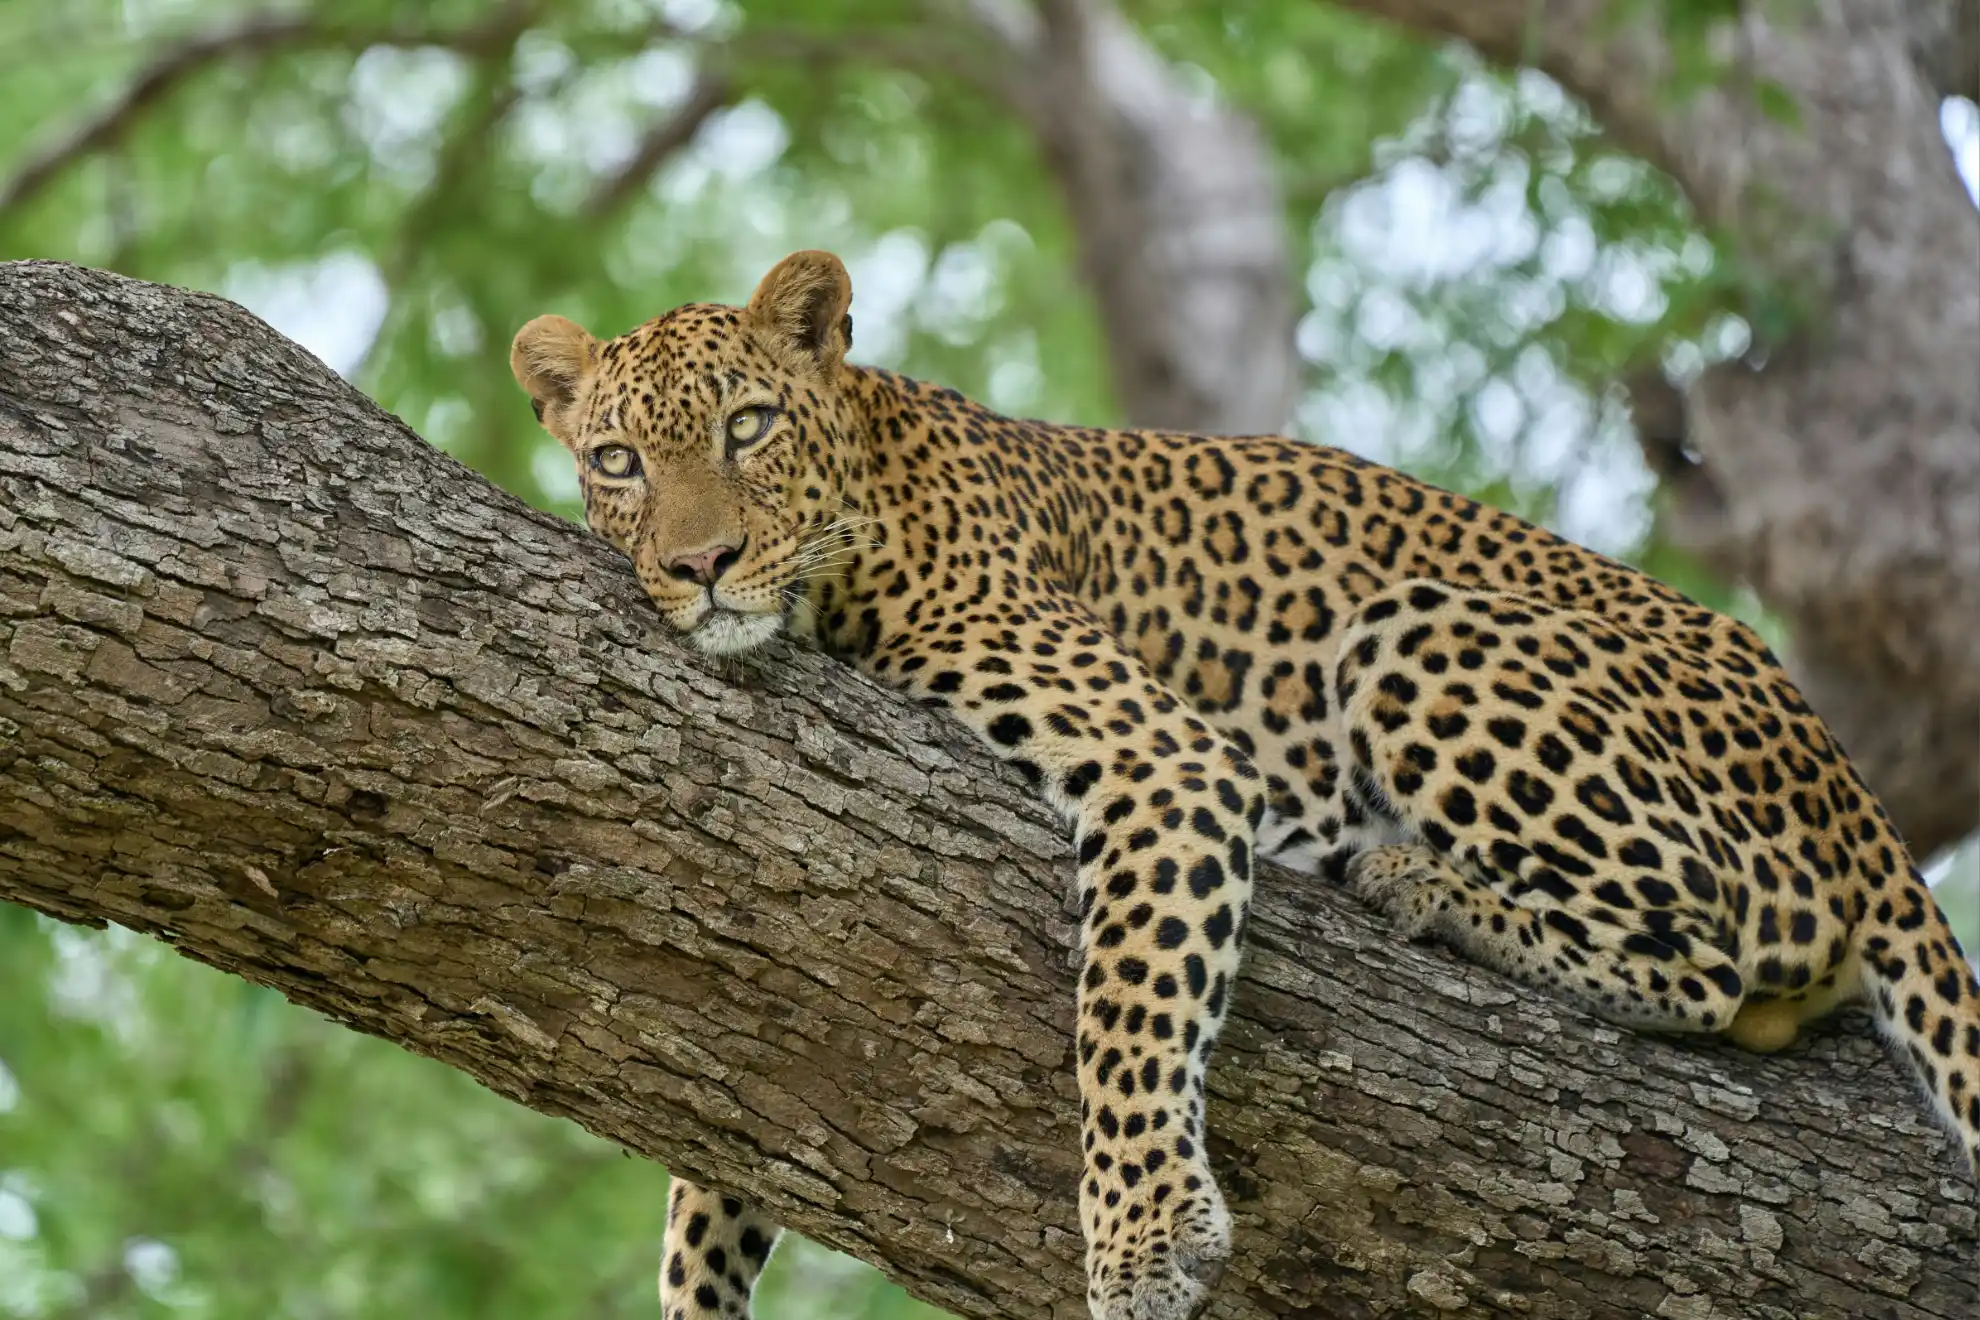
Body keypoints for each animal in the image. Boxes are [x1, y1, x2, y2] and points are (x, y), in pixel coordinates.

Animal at [510, 250, 1980, 1320]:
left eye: (748, 427)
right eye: (618, 462)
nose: (699, 567)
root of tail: (1854, 791)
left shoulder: (1162, 755)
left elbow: (1131, 1002)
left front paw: (1147, 1233)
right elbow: (711, 1179)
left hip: (1417, 626)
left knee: (1712, 959)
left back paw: (1424, 885)